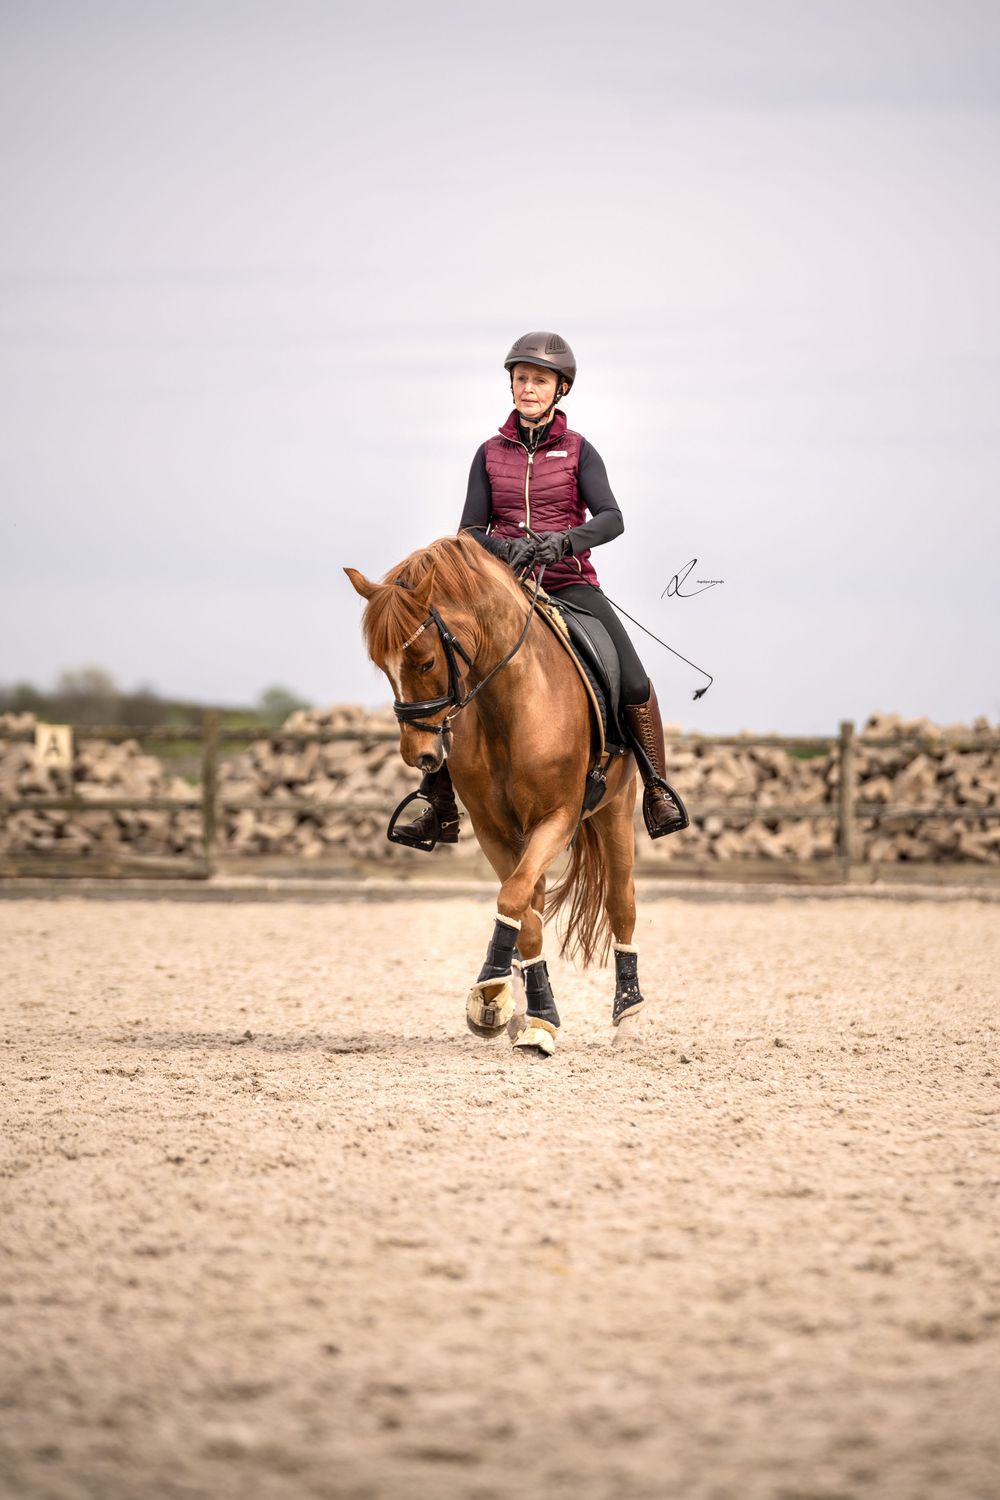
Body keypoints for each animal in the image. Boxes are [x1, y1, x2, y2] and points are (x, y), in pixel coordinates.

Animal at [345, 532, 648, 1057]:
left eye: (425, 661)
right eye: (383, 667)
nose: (419, 754)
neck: (509, 703)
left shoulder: (558, 818)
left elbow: (513, 900)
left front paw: (491, 989)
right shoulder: (493, 830)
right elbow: (524, 913)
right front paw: (518, 1009)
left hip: (615, 810)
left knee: (620, 902)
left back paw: (627, 1014)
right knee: (539, 902)